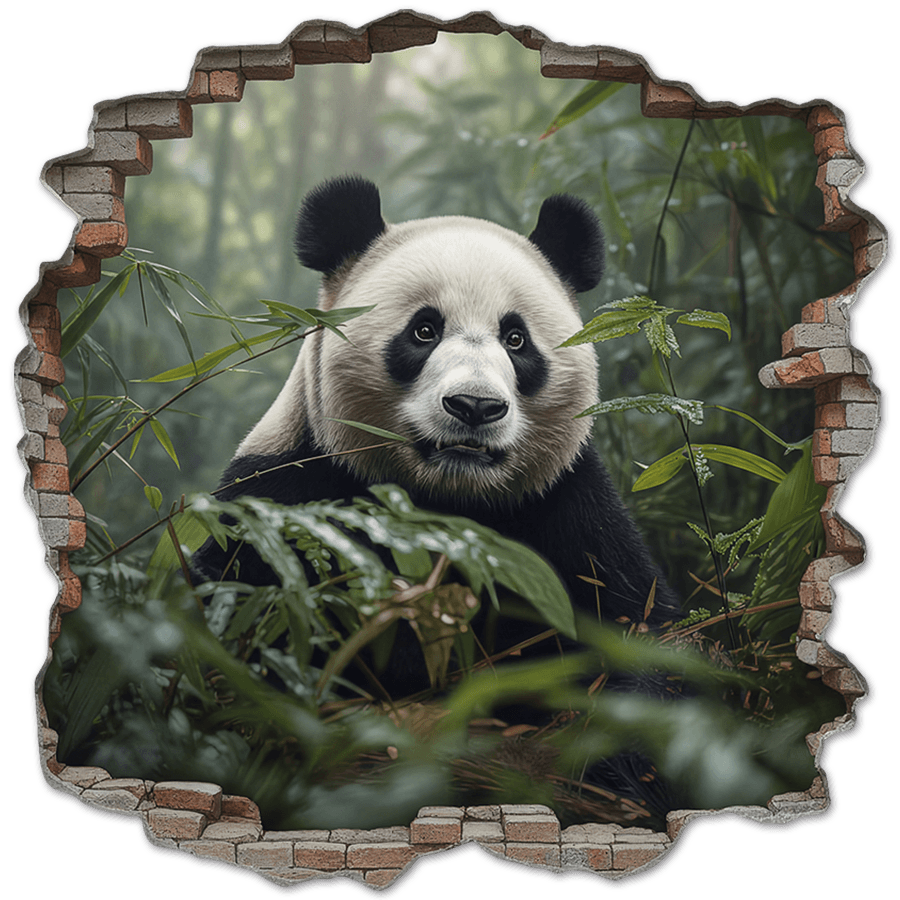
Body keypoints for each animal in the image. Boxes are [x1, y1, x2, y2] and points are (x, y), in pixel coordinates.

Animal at [192, 176, 682, 812]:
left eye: (516, 339)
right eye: (424, 330)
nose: (474, 406)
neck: (446, 501)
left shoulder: (566, 511)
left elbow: (637, 643)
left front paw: (616, 776)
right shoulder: (288, 500)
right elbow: (239, 627)